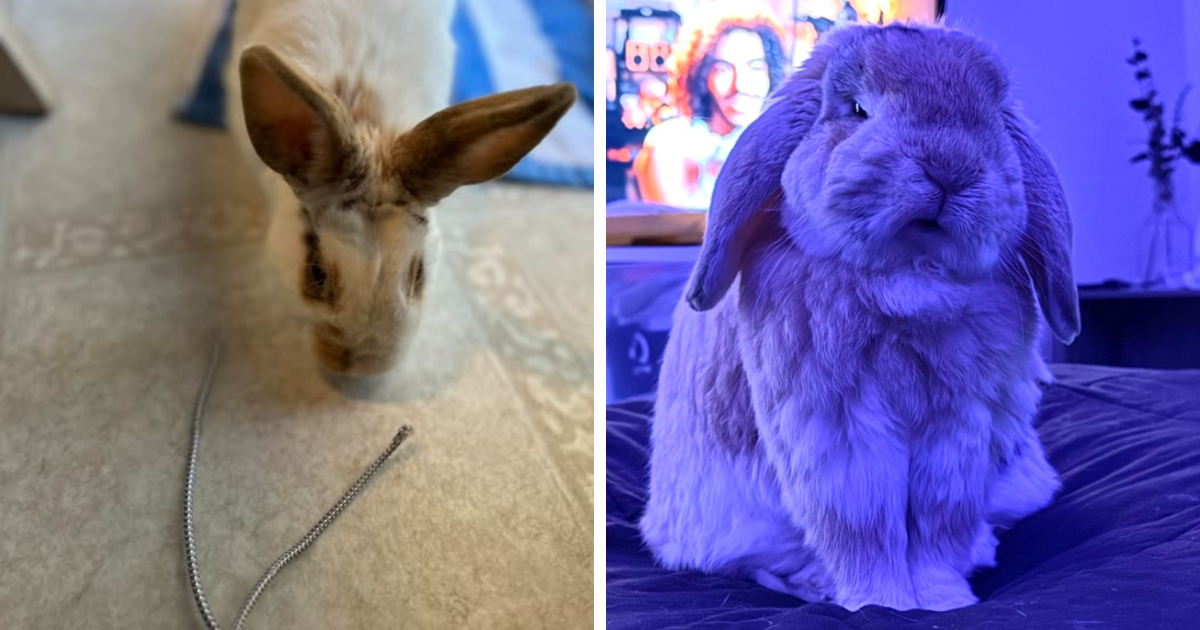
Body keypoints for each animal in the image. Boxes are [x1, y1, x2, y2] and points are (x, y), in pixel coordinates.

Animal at [640, 22, 1080, 613]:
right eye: (856, 109)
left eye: (991, 118)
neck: (911, 277)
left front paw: (945, 602)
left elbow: (939, 535)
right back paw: (817, 585)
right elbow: (863, 532)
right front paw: (885, 604)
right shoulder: (840, 436)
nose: (950, 169)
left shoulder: (961, 434)